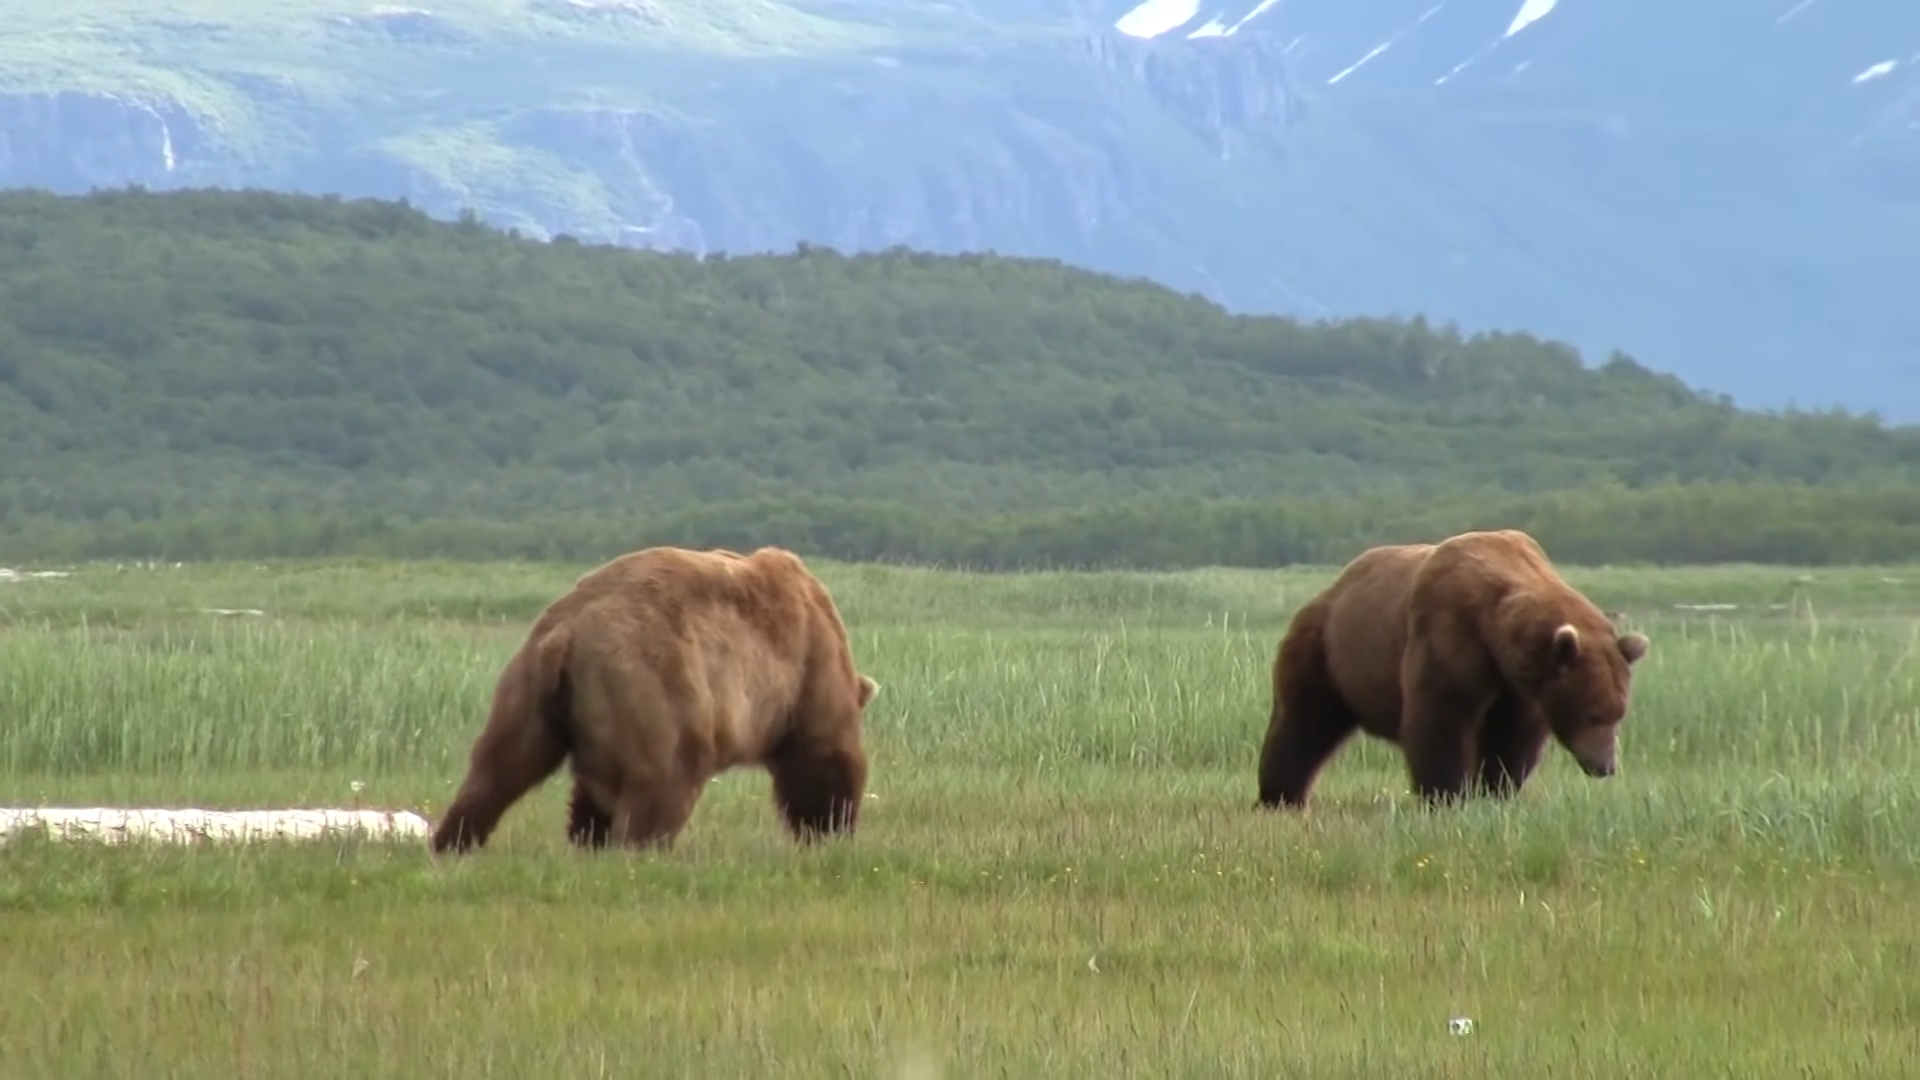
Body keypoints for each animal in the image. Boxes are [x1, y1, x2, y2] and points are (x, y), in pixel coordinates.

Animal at [432, 541, 879, 853]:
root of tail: (567, 633)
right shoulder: (809, 669)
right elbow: (823, 757)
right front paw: (828, 830)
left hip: (530, 689)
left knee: (499, 767)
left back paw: (453, 842)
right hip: (656, 686)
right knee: (665, 778)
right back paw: (640, 853)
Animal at [1259, 530, 1651, 807]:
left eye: (1619, 712)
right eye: (1594, 714)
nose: (1605, 766)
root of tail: (1330, 590)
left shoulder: (1517, 686)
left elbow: (1512, 736)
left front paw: (1497, 790)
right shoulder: (1449, 638)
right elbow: (1441, 721)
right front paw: (1447, 795)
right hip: (1329, 653)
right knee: (1303, 723)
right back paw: (1279, 795)